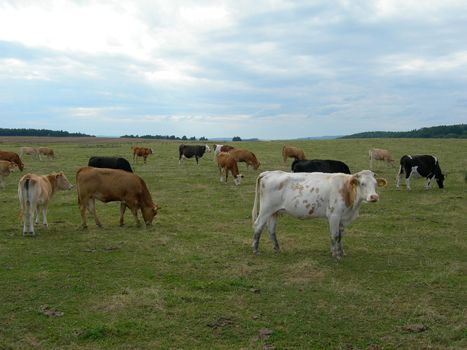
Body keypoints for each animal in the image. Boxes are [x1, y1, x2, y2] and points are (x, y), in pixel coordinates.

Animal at [252, 170, 388, 258]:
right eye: (362, 183)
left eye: (376, 184)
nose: (374, 197)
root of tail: (268, 172)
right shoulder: (334, 215)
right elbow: (335, 236)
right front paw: (335, 255)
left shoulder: (342, 218)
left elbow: (340, 236)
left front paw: (341, 252)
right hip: (266, 209)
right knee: (258, 226)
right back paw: (255, 250)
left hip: (274, 212)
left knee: (271, 229)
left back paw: (277, 249)